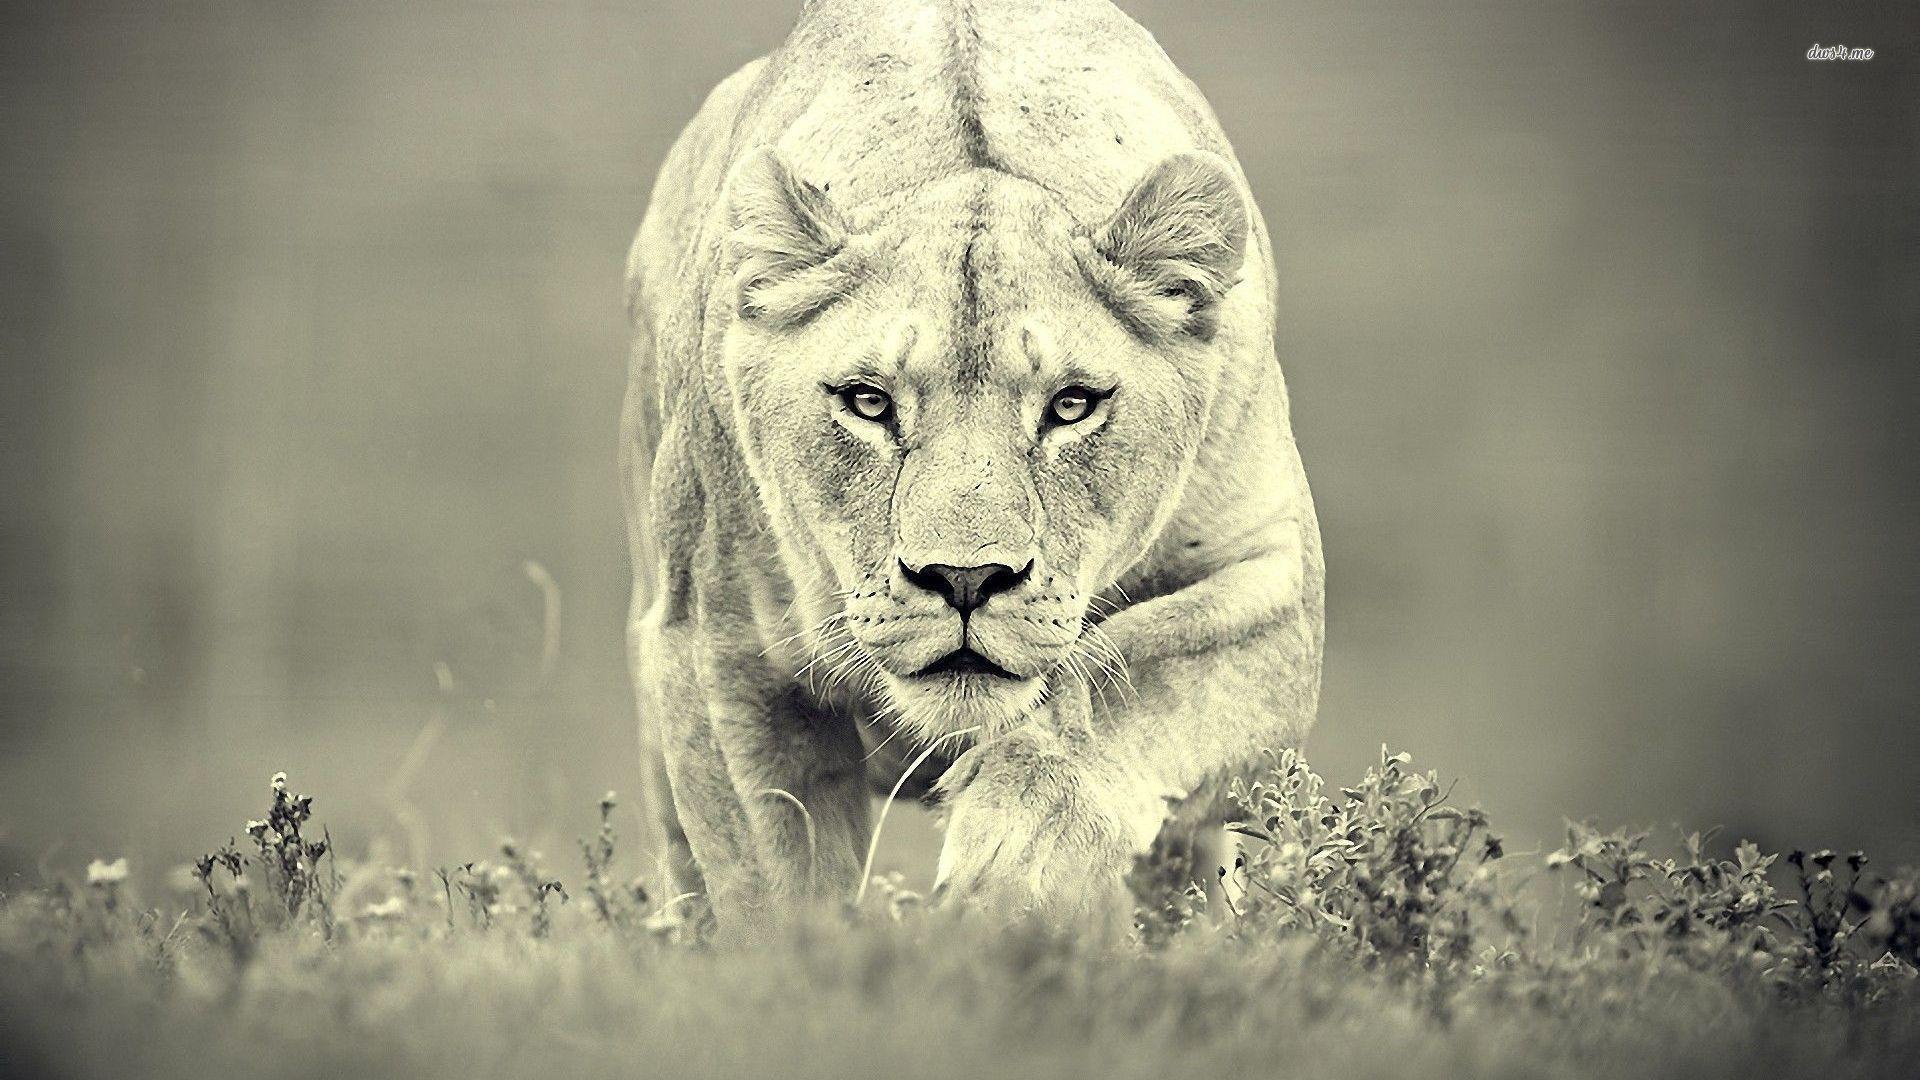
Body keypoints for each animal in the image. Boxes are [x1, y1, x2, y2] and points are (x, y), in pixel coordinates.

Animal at [622, 0, 1323, 936]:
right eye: (868, 401)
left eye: (1071, 405)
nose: (963, 579)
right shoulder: (716, 644)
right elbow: (773, 886)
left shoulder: (1274, 587)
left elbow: (1127, 679)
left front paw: (1012, 869)